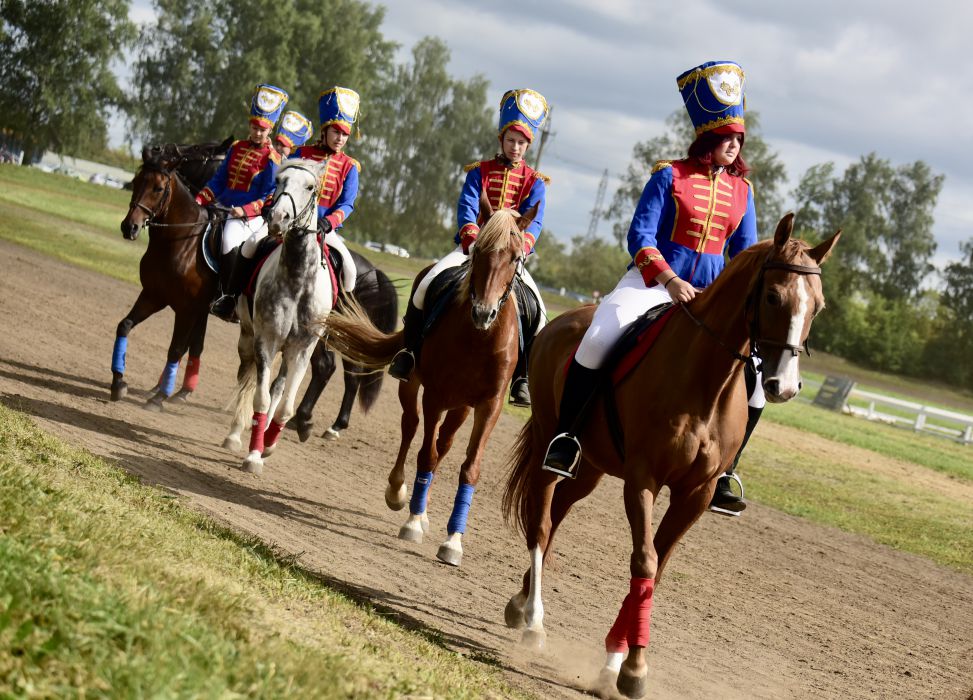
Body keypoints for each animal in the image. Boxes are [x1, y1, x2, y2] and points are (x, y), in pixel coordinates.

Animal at [114, 148, 218, 410]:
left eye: (158, 188)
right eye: (136, 181)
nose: (129, 227)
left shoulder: (188, 310)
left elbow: (176, 349)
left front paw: (159, 397)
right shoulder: (154, 296)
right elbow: (125, 325)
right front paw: (118, 382)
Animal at [224, 159, 334, 476]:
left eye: (310, 187)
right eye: (279, 181)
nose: (278, 217)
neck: (297, 279)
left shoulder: (302, 349)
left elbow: (284, 406)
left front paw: (269, 446)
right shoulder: (266, 341)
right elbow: (259, 397)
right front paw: (253, 455)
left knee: (278, 388)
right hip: (248, 337)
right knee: (247, 379)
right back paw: (235, 435)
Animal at [322, 205, 536, 568]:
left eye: (515, 257)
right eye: (478, 251)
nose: (484, 312)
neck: (478, 338)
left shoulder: (489, 405)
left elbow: (469, 467)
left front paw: (453, 540)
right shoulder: (434, 395)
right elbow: (425, 452)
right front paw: (411, 521)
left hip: (461, 406)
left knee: (444, 443)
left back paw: (422, 510)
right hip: (413, 385)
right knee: (411, 428)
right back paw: (399, 494)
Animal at [502, 215, 836, 700]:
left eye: (819, 306)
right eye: (774, 296)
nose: (784, 386)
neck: (706, 382)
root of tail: (563, 321)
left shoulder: (695, 494)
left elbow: (657, 568)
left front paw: (616, 659)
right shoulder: (643, 480)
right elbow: (644, 560)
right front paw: (632, 668)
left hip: (592, 467)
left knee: (560, 513)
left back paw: (521, 602)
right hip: (550, 438)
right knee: (542, 522)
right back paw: (533, 620)